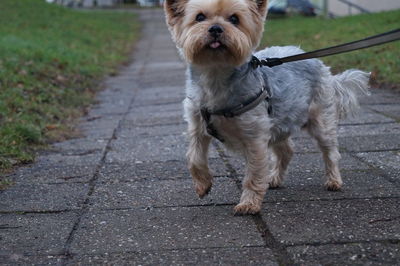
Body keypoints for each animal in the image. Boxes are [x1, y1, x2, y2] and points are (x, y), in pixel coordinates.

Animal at [164, 0, 370, 214]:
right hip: (280, 121)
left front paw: (249, 203)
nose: (215, 29)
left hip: (320, 121)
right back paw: (274, 179)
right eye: (200, 17)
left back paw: (333, 180)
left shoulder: (254, 136)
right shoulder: (197, 127)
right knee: (286, 150)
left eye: (234, 19)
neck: (215, 74)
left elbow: (253, 173)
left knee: (330, 152)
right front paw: (203, 184)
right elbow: (194, 158)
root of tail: (320, 64)